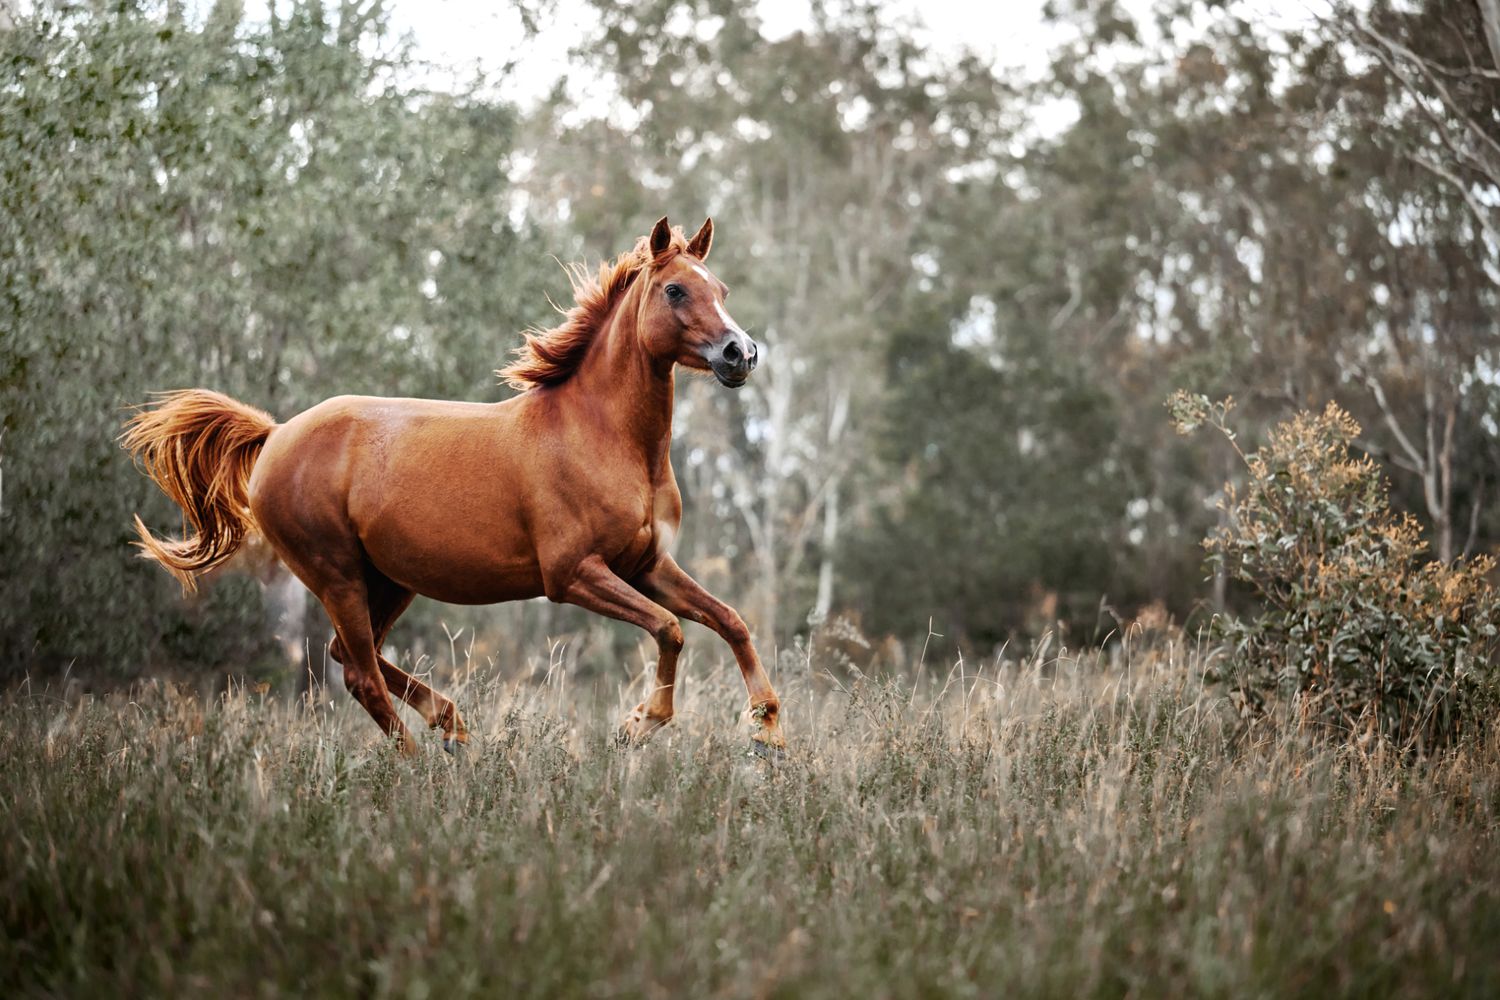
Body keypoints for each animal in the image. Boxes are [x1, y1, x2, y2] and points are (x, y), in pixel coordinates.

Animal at [122, 216, 784, 755]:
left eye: (721, 290)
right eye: (675, 290)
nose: (741, 353)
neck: (601, 435)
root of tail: (276, 434)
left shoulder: (645, 565)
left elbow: (729, 620)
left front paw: (768, 729)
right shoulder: (573, 574)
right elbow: (670, 629)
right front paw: (640, 724)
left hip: (389, 581)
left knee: (350, 657)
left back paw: (452, 726)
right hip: (336, 574)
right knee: (360, 675)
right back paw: (422, 767)